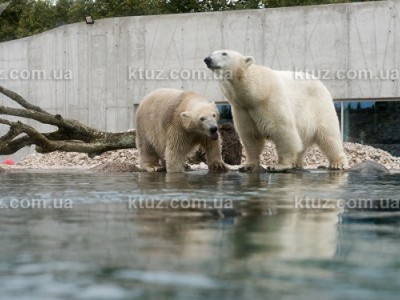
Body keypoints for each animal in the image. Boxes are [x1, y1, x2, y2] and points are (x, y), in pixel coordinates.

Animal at [205, 49, 348, 171]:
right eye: (212, 52)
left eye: (224, 53)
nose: (207, 59)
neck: (254, 92)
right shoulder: (242, 108)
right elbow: (250, 136)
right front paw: (247, 165)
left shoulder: (270, 100)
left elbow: (282, 130)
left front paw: (279, 165)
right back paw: (297, 162)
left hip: (319, 105)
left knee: (329, 135)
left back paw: (338, 163)